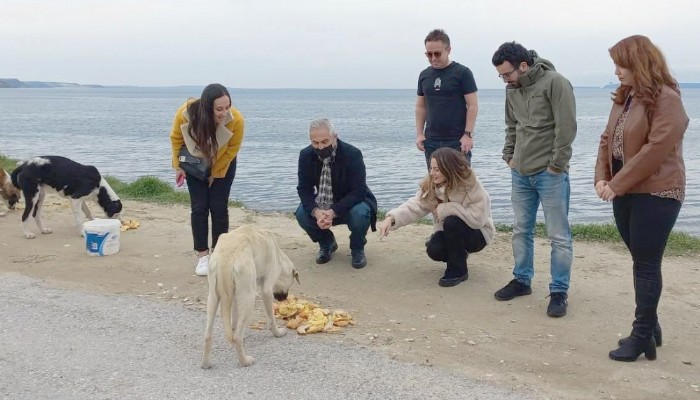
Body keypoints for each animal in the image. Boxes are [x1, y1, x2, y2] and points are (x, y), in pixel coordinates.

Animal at [202, 225, 300, 368]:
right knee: (237, 338)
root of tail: (227, 256)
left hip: (213, 297)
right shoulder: (266, 289)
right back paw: (245, 361)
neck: (278, 254)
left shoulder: (235, 295)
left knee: (208, 335)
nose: (284, 298)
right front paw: (277, 333)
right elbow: (271, 318)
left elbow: (234, 319)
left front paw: (234, 327)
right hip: (249, 297)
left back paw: (206, 363)